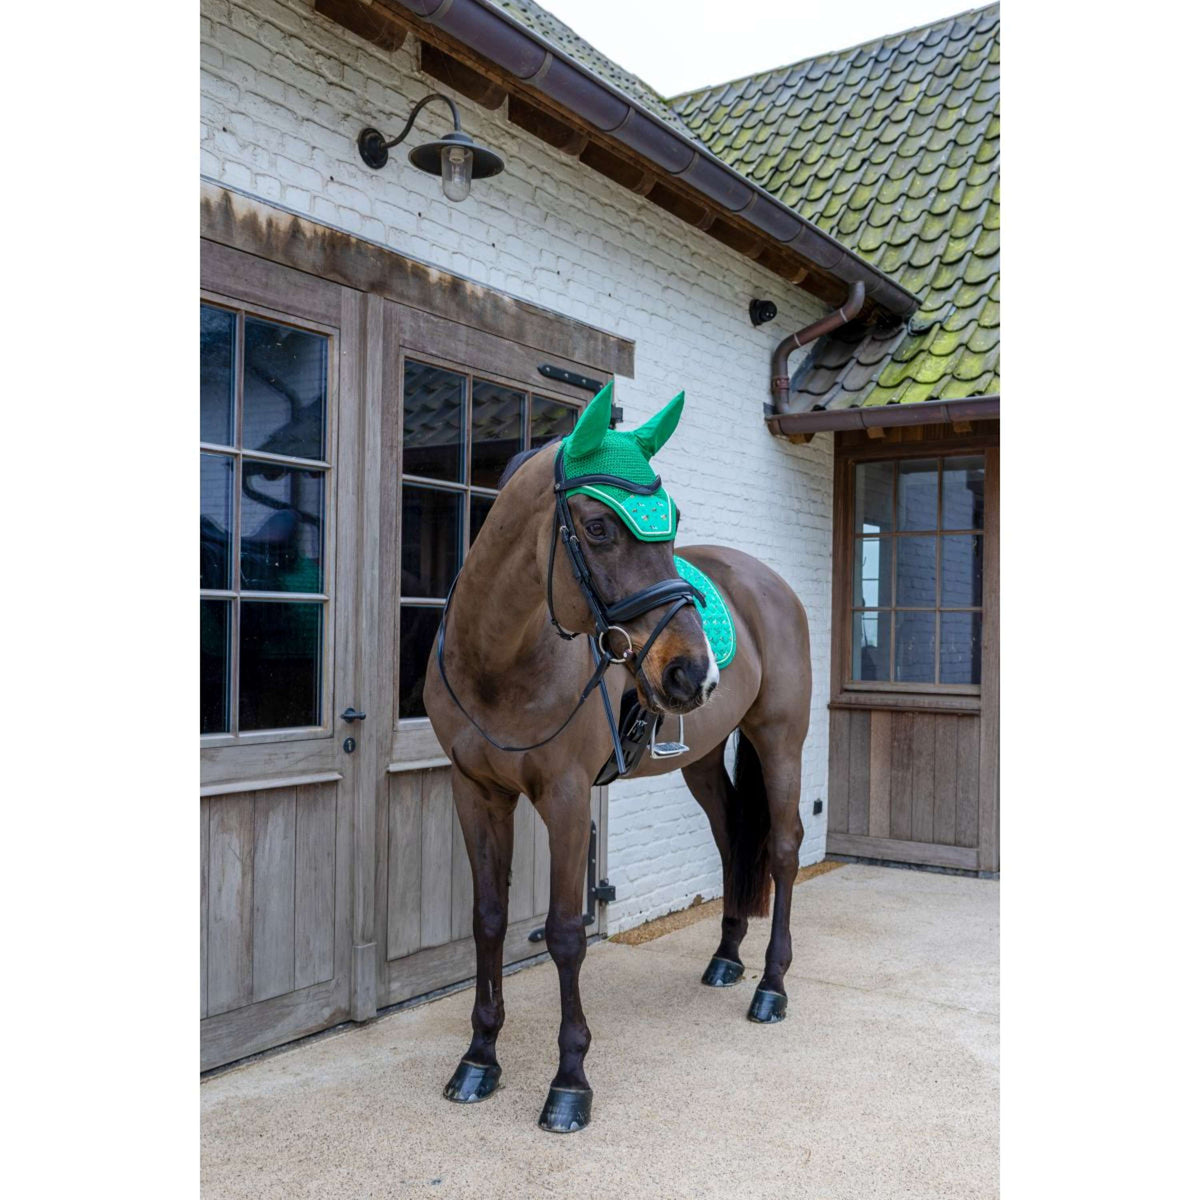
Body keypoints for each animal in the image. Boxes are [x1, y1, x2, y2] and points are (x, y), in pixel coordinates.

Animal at [423, 381, 812, 1133]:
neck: (500, 661)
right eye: (599, 527)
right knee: (732, 839)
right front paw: (479, 1058)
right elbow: (489, 920)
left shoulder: (568, 799)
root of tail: (769, 582)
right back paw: (726, 959)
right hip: (702, 758)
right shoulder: (475, 791)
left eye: (675, 519)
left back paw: (772, 987)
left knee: (782, 849)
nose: (693, 672)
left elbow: (564, 933)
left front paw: (569, 1082)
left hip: (780, 738)